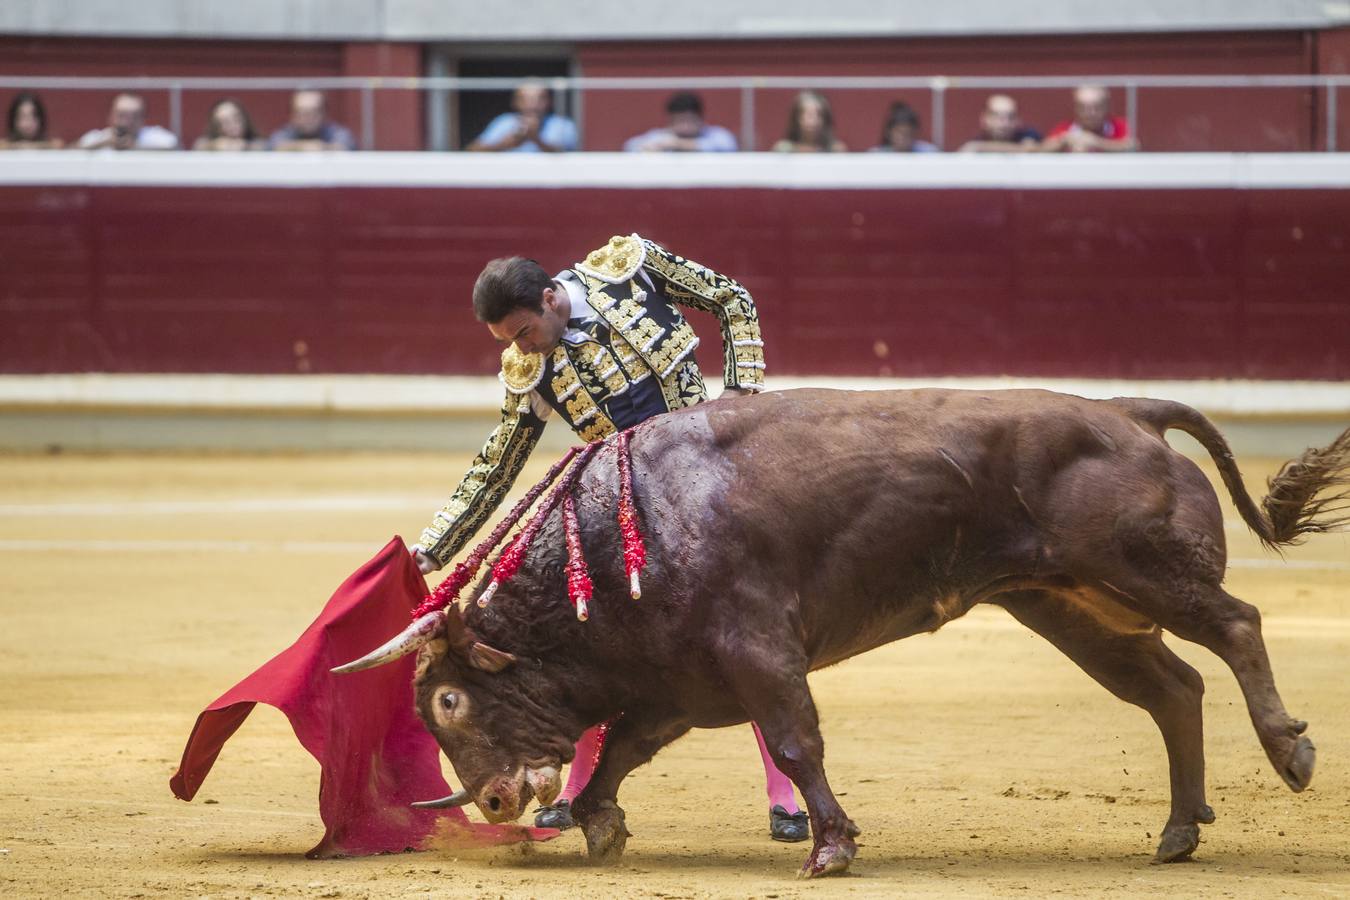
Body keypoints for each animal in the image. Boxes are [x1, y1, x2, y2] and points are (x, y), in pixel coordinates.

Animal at [337, 388, 1350, 879]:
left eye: (450, 699)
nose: (496, 801)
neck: (621, 534)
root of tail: (1129, 413)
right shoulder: (684, 685)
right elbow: (623, 747)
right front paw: (601, 824)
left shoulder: (757, 652)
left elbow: (796, 741)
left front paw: (831, 848)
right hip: (1070, 606)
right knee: (1172, 688)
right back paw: (1178, 831)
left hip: (1138, 571)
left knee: (1237, 624)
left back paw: (1290, 753)